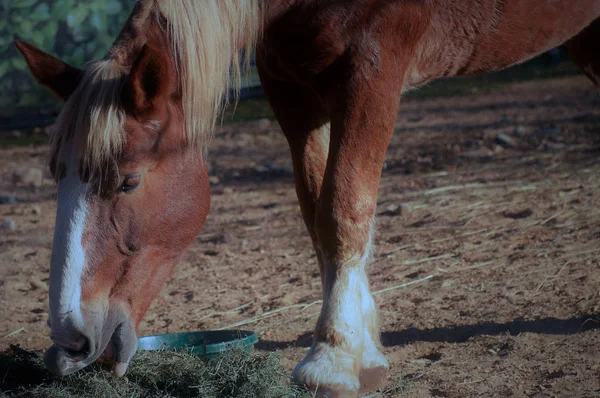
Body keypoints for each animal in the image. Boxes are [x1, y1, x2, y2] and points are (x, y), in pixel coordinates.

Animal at [14, 0, 600, 394]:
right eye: (56, 175)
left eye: (129, 181)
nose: (70, 341)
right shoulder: (291, 91)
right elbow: (318, 214)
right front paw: (364, 354)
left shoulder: (372, 72)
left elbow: (345, 207)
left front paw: (332, 358)